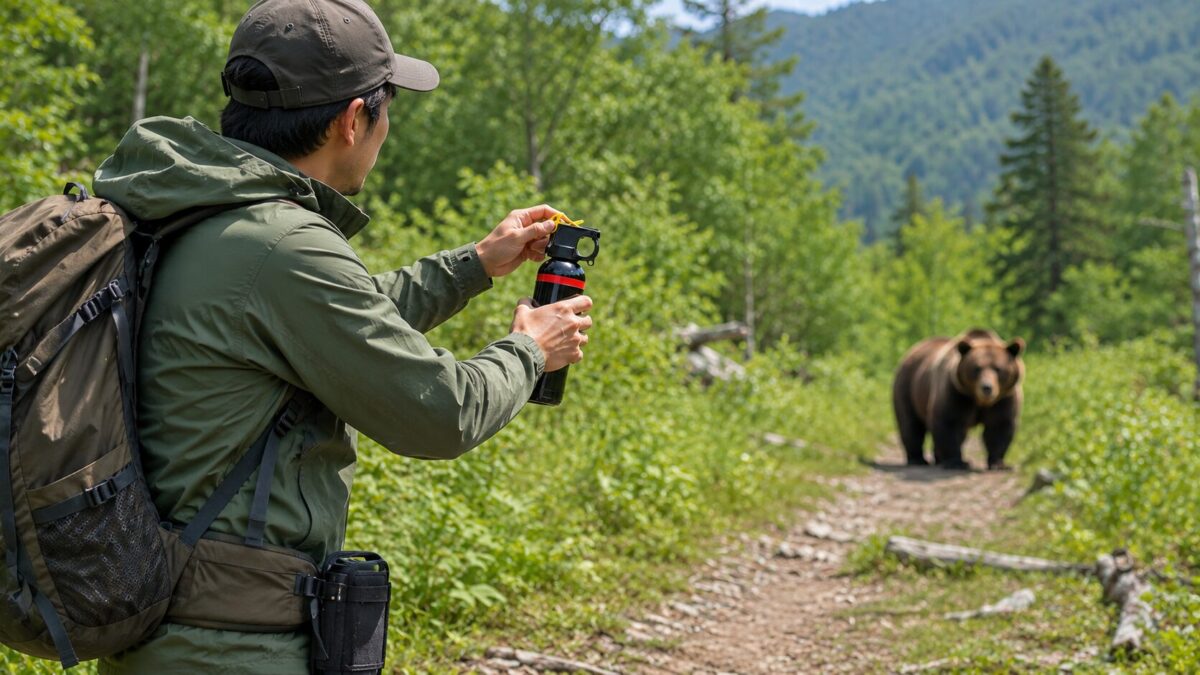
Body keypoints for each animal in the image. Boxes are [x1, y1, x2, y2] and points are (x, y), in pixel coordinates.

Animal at [891, 329, 1025, 471]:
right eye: (977, 368)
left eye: (998, 369)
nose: (987, 387)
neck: (978, 399)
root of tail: (913, 349)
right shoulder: (955, 393)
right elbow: (949, 423)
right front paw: (957, 462)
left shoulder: (1004, 398)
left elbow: (999, 426)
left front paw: (998, 463)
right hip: (909, 387)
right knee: (911, 424)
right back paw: (918, 459)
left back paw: (938, 459)